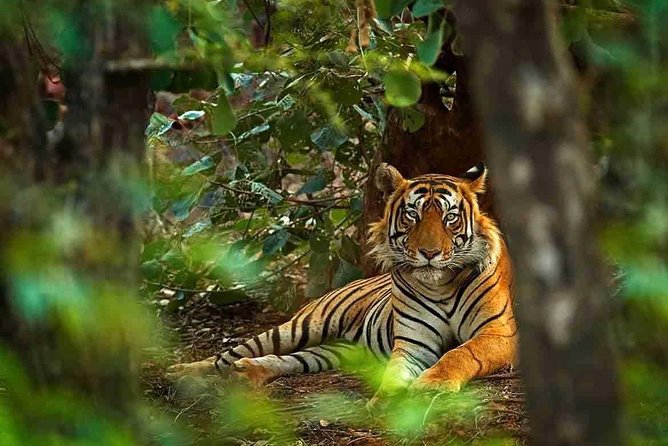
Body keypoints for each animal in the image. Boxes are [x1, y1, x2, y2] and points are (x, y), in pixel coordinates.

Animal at [167, 163, 517, 402]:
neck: (440, 283)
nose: (429, 253)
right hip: (300, 326)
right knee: (227, 355)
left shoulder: (499, 333)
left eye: (450, 217)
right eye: (412, 215)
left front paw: (433, 384)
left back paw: (248, 372)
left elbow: (461, 352)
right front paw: (386, 400)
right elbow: (395, 371)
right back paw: (182, 373)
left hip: (335, 350)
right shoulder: (413, 343)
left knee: (287, 360)